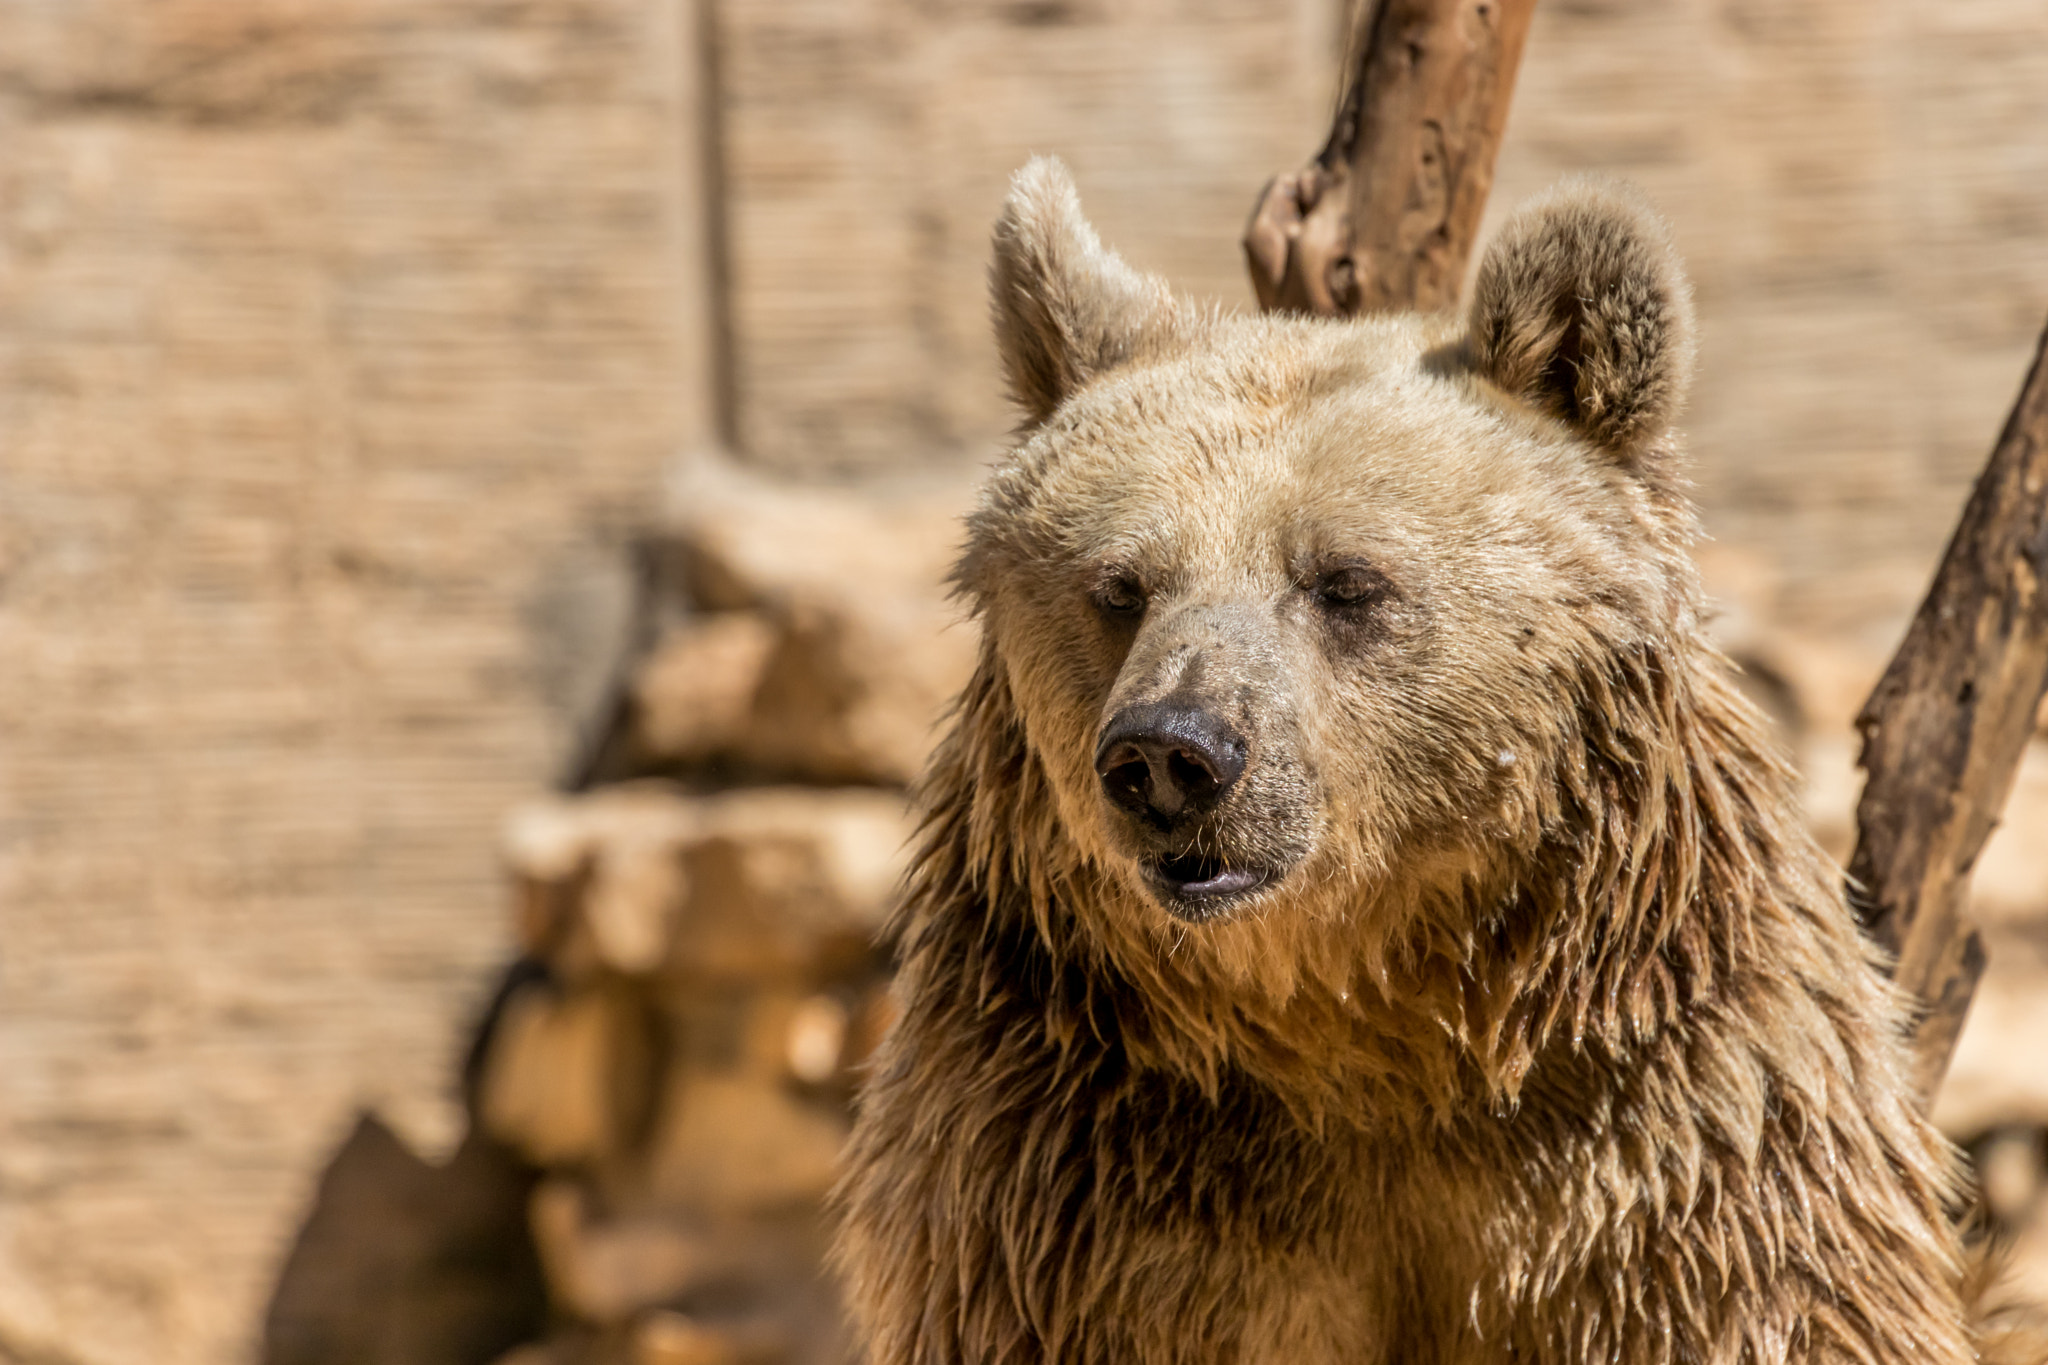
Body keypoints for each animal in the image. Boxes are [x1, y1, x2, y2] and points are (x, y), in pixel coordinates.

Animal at [834, 158, 1991, 1365]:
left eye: (1344, 581)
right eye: (1119, 586)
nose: (1169, 752)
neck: (1369, 1018)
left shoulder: (1673, 1144)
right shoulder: (1076, 1170)